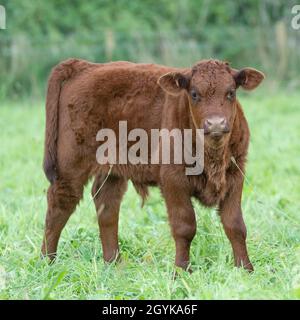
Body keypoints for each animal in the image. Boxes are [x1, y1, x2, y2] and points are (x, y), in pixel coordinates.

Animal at [41, 58, 262, 272]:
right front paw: (181, 271)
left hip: (112, 170)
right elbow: (185, 226)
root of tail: (85, 66)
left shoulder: (235, 176)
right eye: (194, 94)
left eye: (231, 92)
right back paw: (47, 262)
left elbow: (235, 225)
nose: (215, 124)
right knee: (59, 206)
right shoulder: (173, 181)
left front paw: (245, 269)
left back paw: (113, 263)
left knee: (107, 205)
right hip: (70, 166)